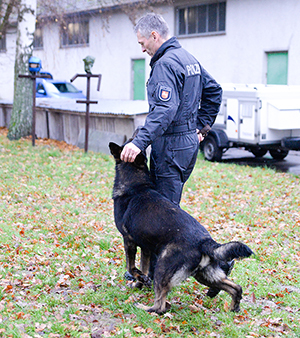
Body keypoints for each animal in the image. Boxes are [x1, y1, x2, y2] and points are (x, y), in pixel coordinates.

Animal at [108, 141, 253, 312]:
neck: (137, 186)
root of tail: (204, 241)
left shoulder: (128, 240)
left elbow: (131, 266)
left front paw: (139, 279)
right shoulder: (146, 248)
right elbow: (143, 268)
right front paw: (140, 283)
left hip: (163, 268)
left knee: (161, 306)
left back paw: (144, 308)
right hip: (205, 275)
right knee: (236, 287)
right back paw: (233, 309)